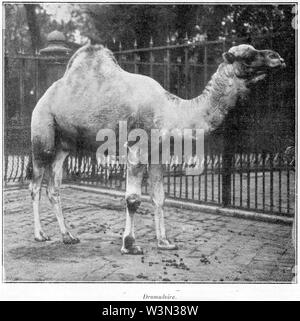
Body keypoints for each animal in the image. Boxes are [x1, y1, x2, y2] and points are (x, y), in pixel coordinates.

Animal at [27, 42, 284, 252]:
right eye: (248, 56)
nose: (277, 57)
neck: (172, 112)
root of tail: (44, 96)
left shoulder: (159, 154)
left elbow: (159, 197)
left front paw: (165, 242)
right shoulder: (137, 149)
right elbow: (132, 199)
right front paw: (130, 245)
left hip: (64, 145)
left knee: (54, 188)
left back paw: (68, 236)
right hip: (42, 134)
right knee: (35, 185)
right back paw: (40, 235)